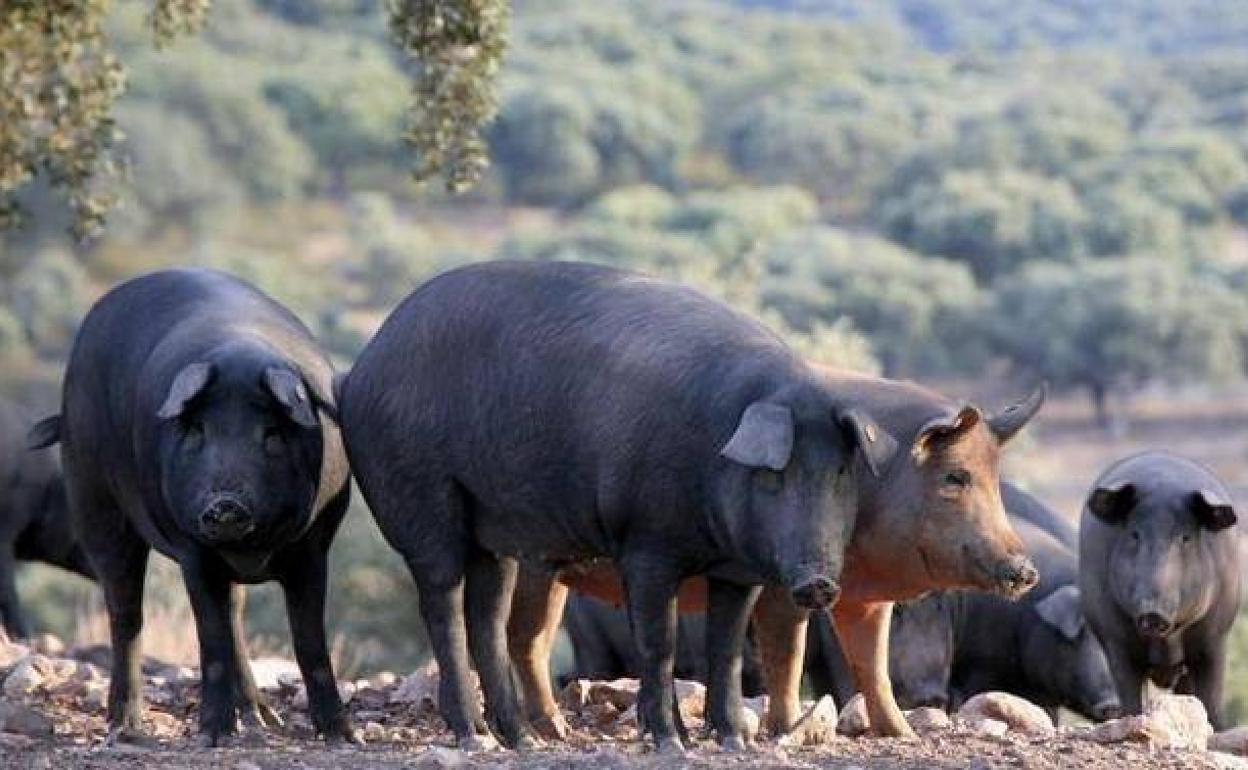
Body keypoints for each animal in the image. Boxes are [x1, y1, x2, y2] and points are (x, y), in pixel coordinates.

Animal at [30, 270, 351, 743]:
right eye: (198, 430)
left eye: (272, 434)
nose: (225, 504)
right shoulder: (192, 551)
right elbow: (210, 639)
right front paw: (213, 737)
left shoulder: (314, 546)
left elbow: (309, 640)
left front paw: (344, 737)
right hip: (92, 496)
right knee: (125, 610)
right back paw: (125, 725)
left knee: (234, 613)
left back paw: (261, 719)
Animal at [339, 259, 898, 748]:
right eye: (773, 474)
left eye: (840, 472)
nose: (819, 582)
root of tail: (364, 364)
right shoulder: (645, 544)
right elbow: (659, 643)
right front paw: (670, 744)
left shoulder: (735, 570)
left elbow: (725, 651)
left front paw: (733, 742)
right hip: (421, 498)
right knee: (442, 603)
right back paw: (475, 740)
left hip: (489, 530)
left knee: (488, 615)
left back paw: (520, 741)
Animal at [1078, 449, 1243, 728]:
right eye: (1135, 534)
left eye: (1185, 537)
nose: (1152, 613)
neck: (1166, 643)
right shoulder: (1115, 640)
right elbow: (1130, 698)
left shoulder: (1215, 636)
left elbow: (1210, 701)